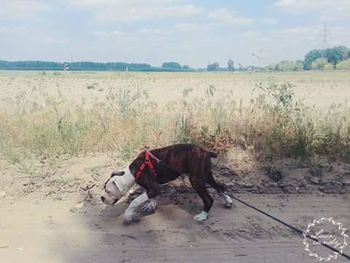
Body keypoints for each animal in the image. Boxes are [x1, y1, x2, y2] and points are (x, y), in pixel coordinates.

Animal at [101, 144, 232, 225]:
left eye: (108, 191)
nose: (101, 198)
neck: (133, 172)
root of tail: (206, 152)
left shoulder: (153, 188)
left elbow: (135, 201)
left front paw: (128, 215)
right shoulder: (152, 188)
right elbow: (150, 197)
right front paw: (151, 204)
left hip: (196, 180)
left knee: (209, 199)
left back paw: (203, 215)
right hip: (205, 175)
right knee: (220, 187)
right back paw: (228, 201)